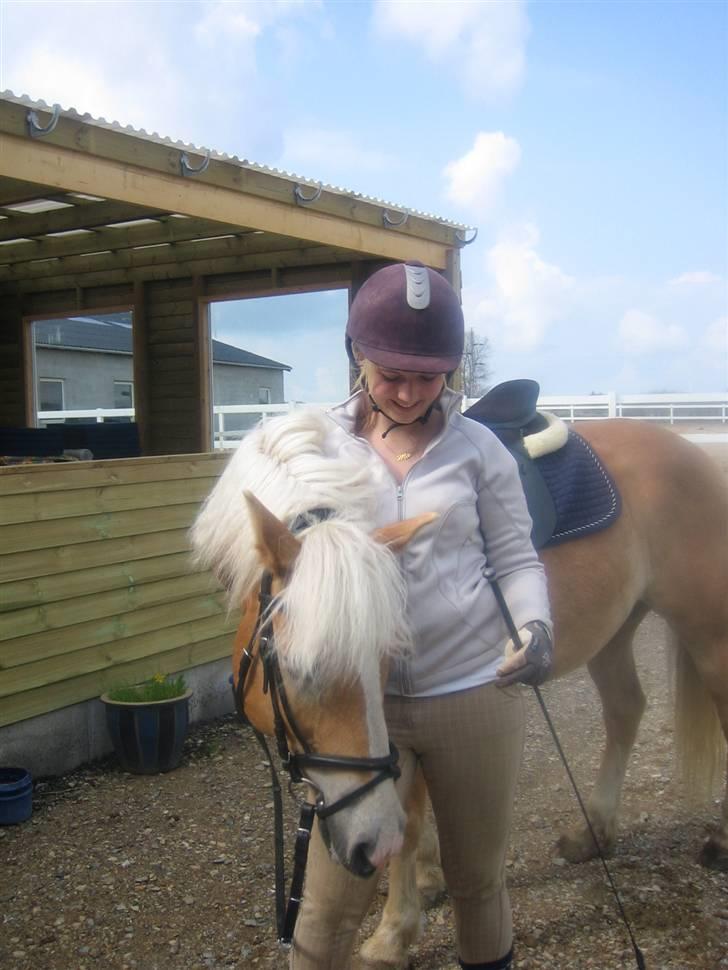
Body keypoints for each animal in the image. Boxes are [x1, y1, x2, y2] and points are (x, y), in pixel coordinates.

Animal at [362, 418, 728, 968]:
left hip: (709, 634)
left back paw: (720, 842)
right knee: (626, 709)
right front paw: (429, 878)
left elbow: (405, 816)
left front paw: (393, 931)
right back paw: (593, 832)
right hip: (614, 631)